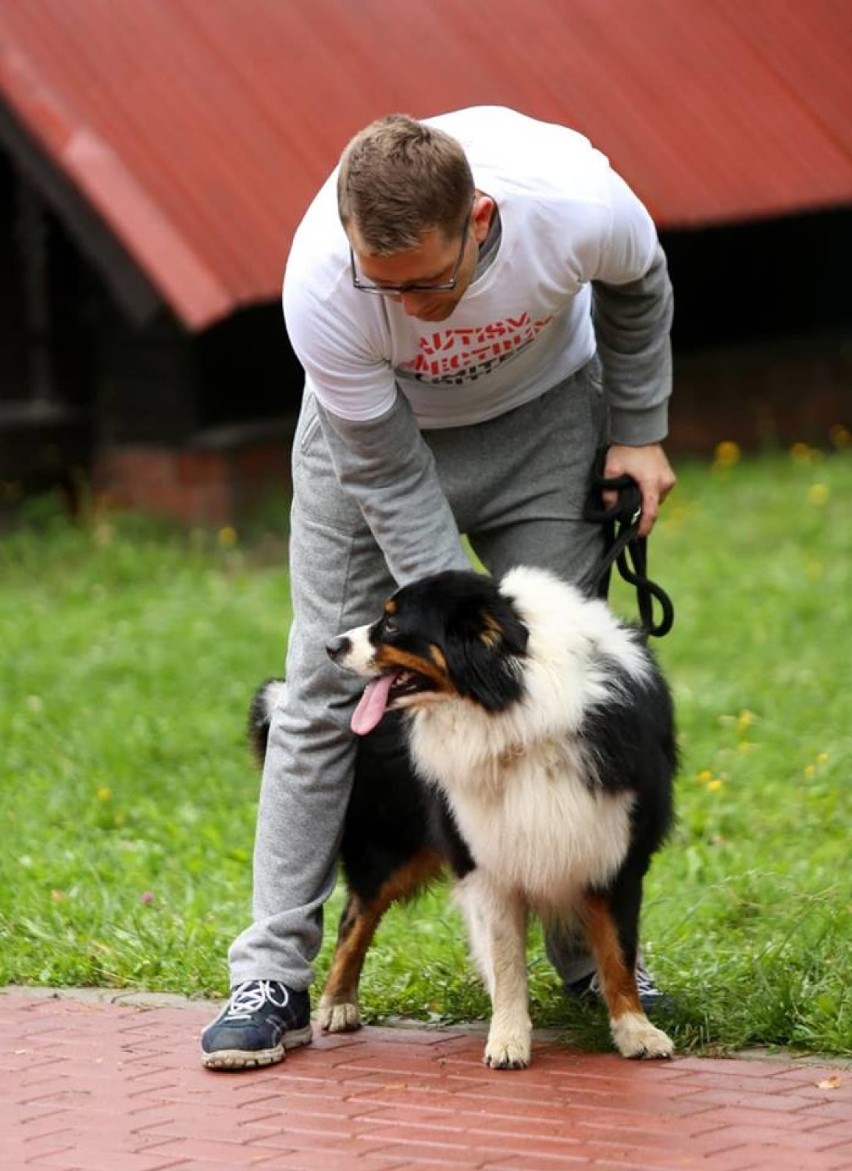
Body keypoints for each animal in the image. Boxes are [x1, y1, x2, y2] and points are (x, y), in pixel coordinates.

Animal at [249, 566, 674, 1072]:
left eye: (392, 624)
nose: (332, 646)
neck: (514, 702)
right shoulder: (488, 857)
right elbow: (507, 960)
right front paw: (509, 1038)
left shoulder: (615, 849)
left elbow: (618, 953)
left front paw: (635, 1029)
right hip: (392, 846)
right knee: (355, 917)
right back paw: (337, 1003)